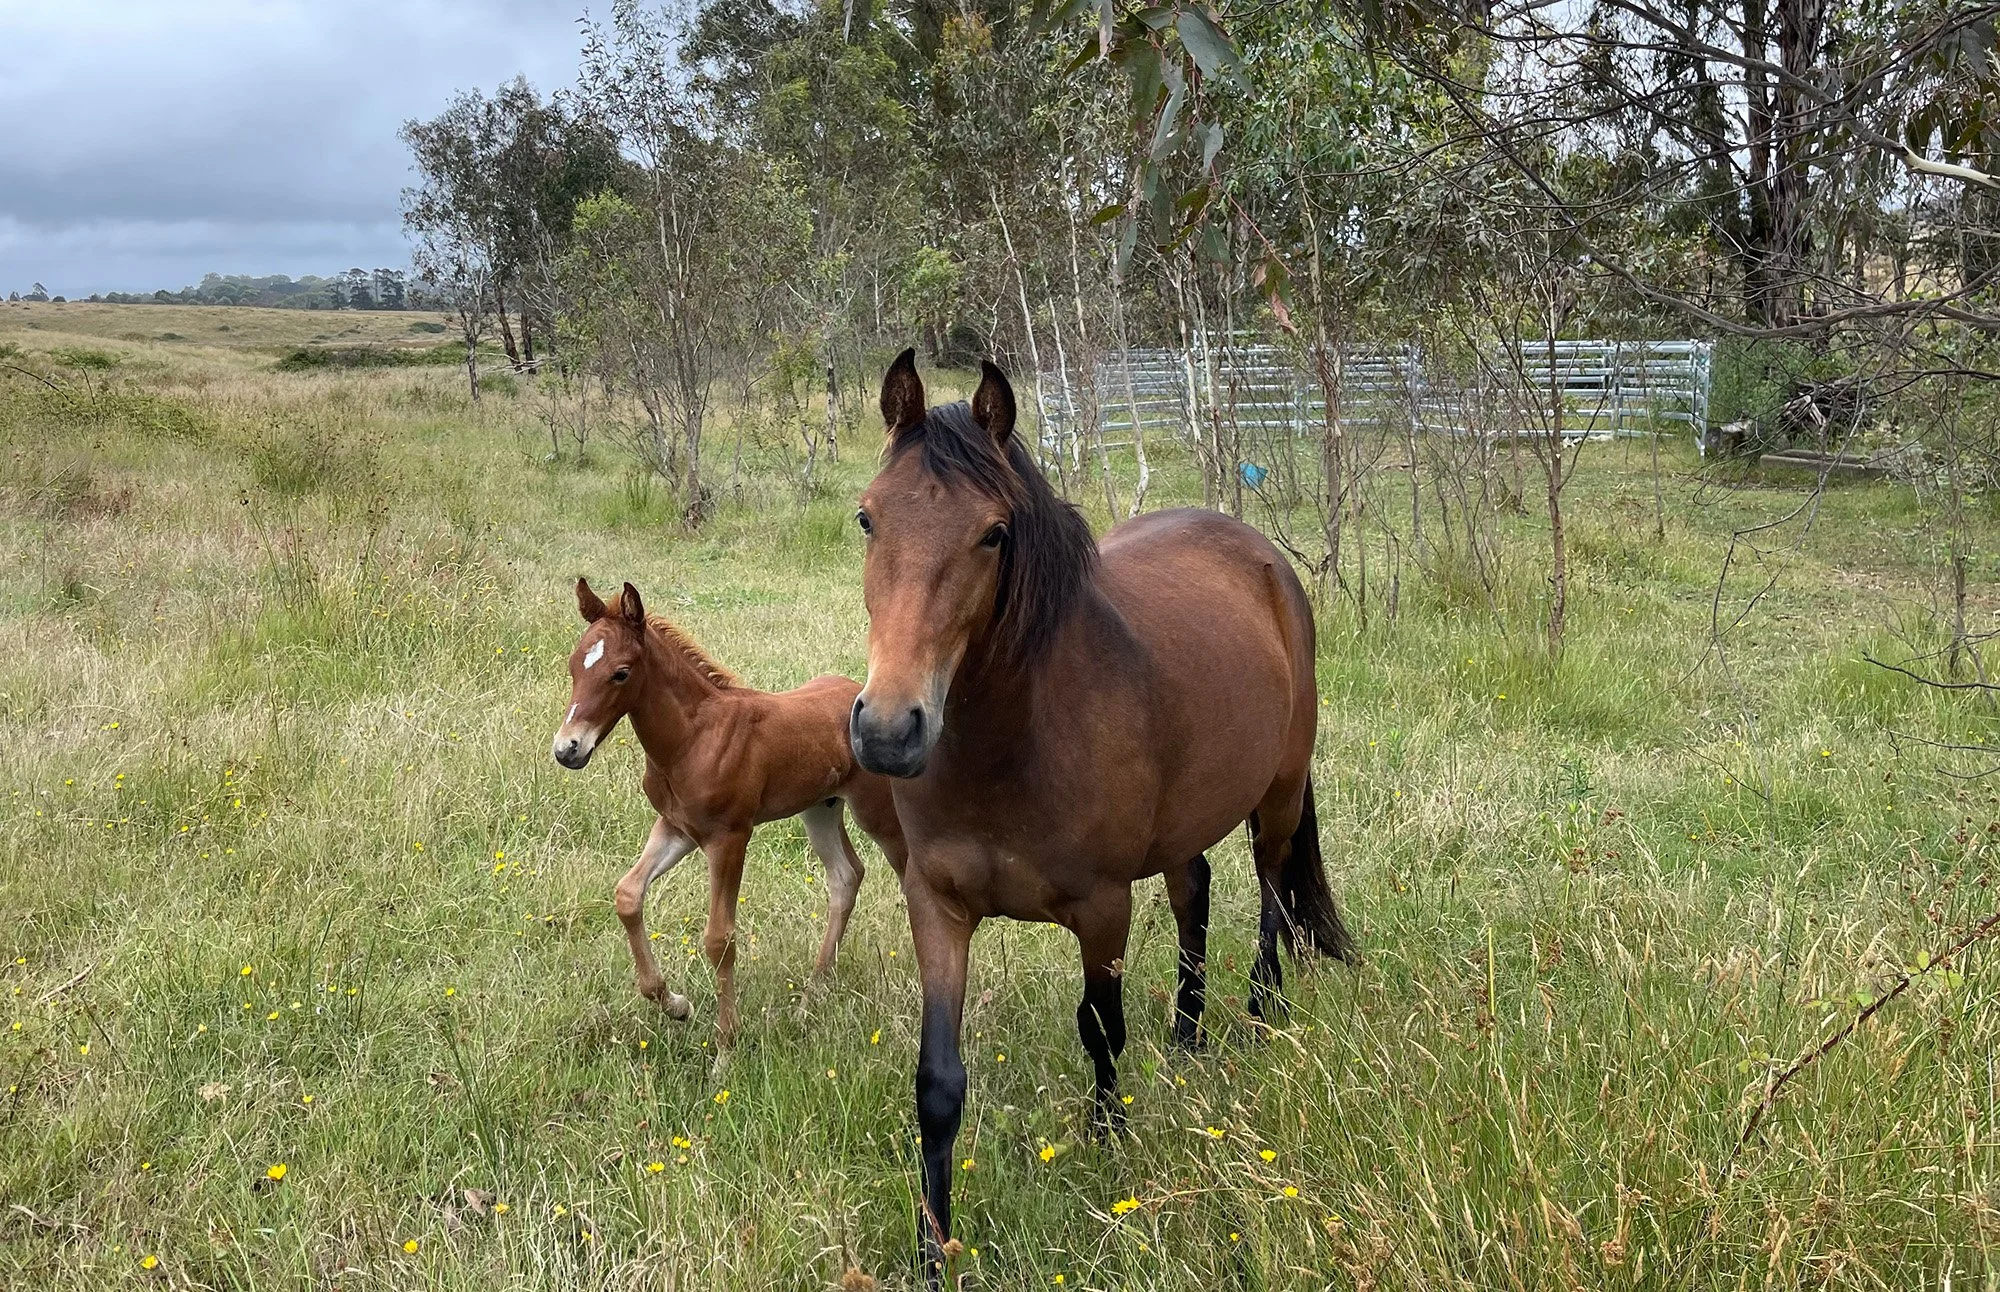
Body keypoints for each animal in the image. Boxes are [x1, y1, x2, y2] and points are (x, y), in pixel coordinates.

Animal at [552, 577, 906, 1062]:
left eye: (620, 673)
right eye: (574, 666)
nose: (567, 749)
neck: (692, 738)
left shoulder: (730, 837)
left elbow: (719, 939)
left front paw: (725, 1049)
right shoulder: (677, 828)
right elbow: (627, 894)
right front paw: (675, 1004)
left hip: (878, 812)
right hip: (821, 808)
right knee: (845, 876)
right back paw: (808, 1002)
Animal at [847, 351, 1356, 1275]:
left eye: (994, 533)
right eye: (868, 518)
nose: (890, 731)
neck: (1009, 744)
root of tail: (1260, 553)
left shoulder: (1101, 907)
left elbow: (1100, 1027)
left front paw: (1108, 1135)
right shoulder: (936, 906)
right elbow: (937, 1083)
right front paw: (933, 1247)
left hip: (1277, 794)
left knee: (1270, 897)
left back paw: (1260, 1019)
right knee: (1196, 890)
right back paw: (1188, 1038)